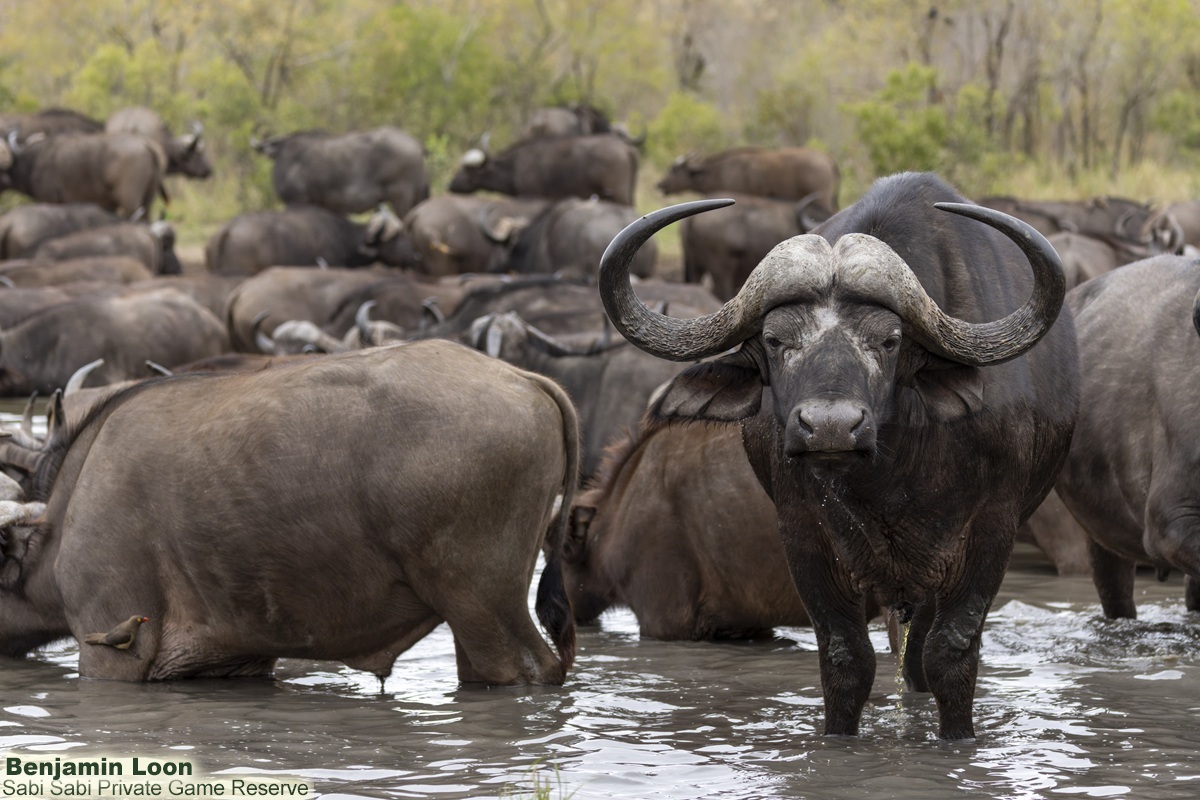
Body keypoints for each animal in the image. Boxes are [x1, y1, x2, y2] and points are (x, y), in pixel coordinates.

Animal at [449, 134, 639, 206]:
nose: (450, 184)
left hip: (619, 195)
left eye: (465, 171)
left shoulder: (531, 195)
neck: (515, 166)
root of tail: (626, 148)